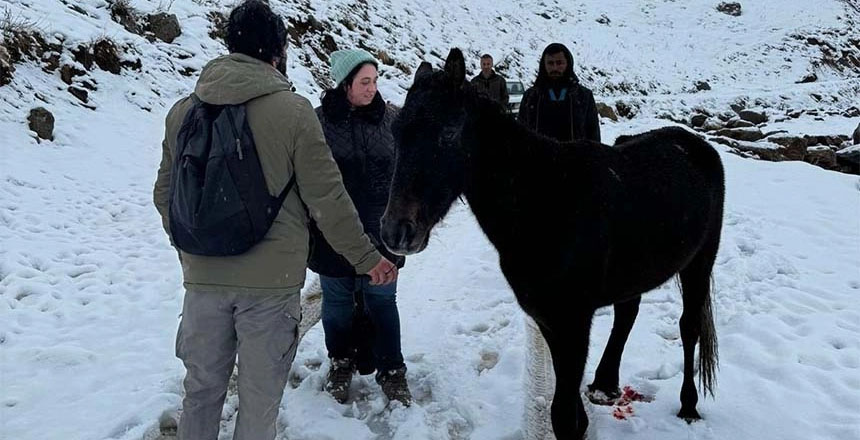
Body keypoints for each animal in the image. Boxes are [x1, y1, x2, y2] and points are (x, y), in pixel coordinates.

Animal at [380, 49, 724, 440]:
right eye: (396, 132)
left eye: (449, 132)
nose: (395, 231)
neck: (546, 202)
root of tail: (697, 146)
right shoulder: (550, 320)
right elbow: (568, 406)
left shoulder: (573, 322)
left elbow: (563, 414)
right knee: (627, 312)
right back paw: (605, 384)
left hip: (700, 262)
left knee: (689, 326)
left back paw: (688, 405)